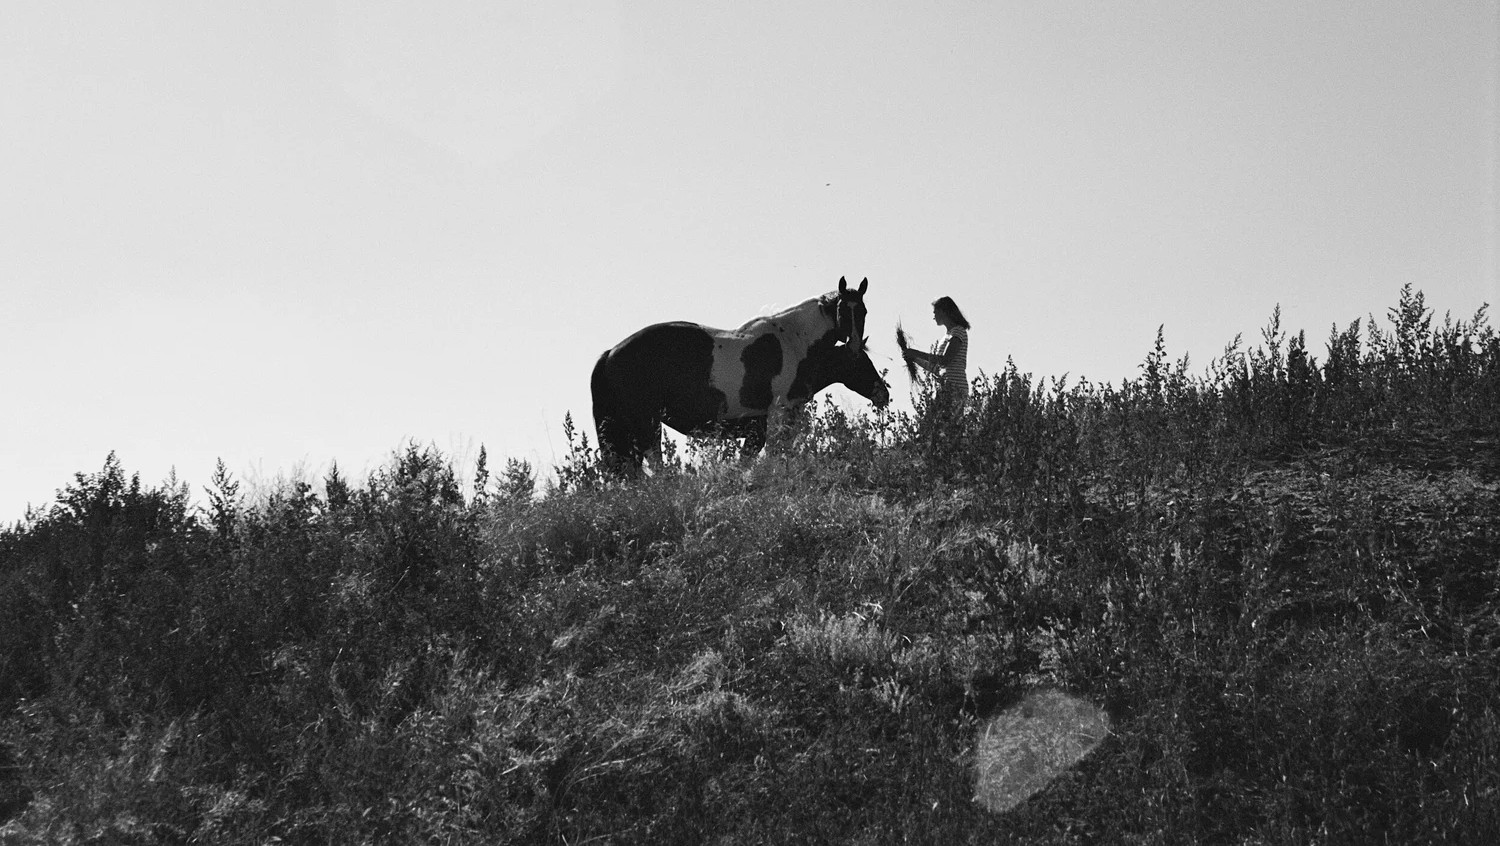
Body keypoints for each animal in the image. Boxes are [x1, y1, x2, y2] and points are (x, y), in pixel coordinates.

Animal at [591, 277, 888, 473]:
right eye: (843, 310)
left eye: (863, 311)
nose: (883, 394)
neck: (794, 341)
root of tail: (610, 353)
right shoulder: (775, 418)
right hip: (647, 425)